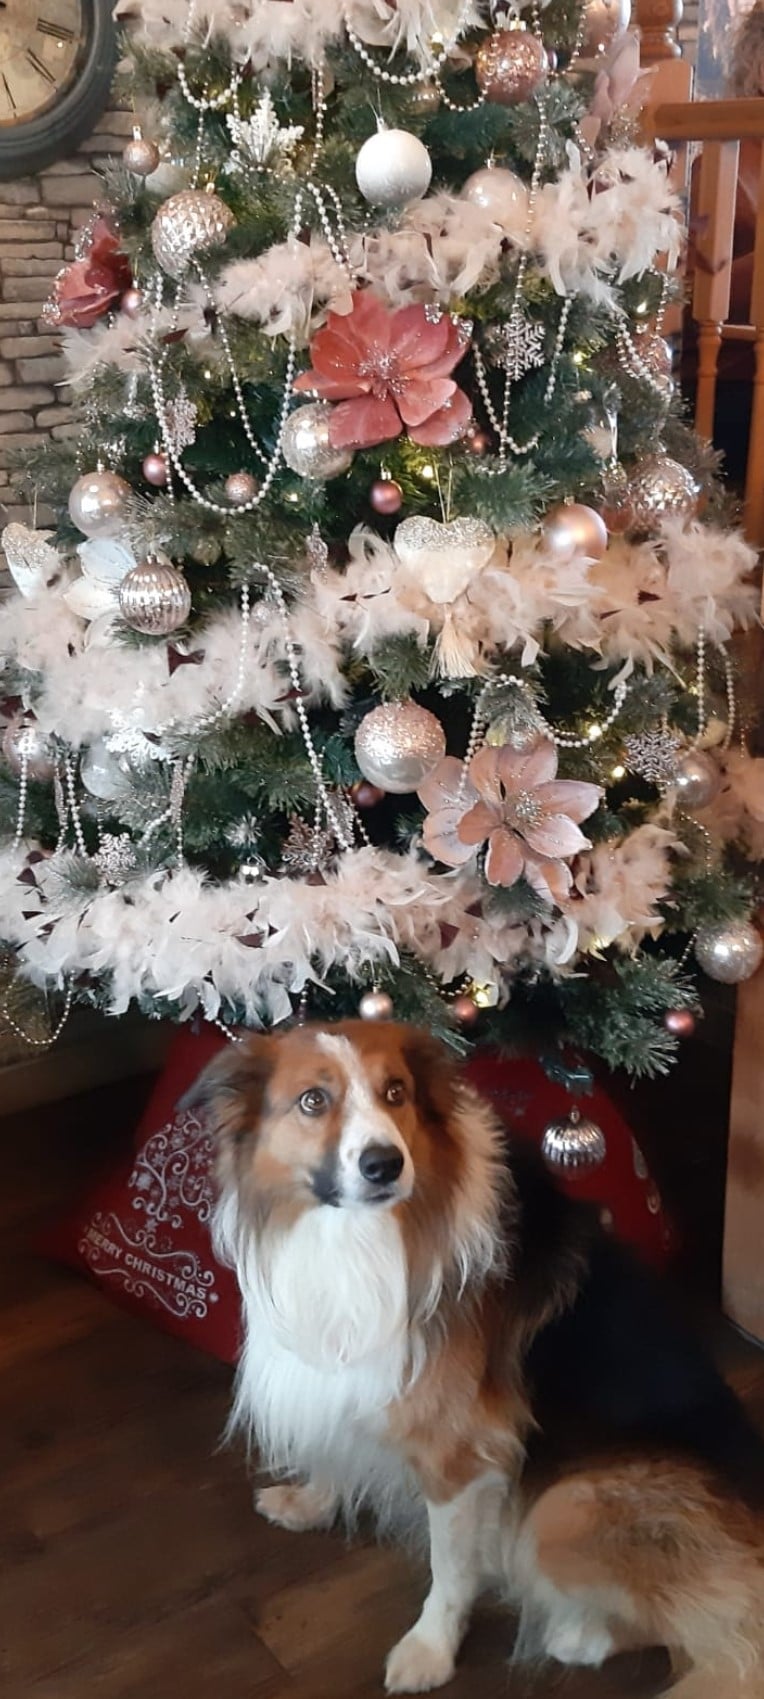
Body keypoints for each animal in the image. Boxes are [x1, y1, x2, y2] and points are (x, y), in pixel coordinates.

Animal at [185, 1020, 764, 1696]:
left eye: (396, 1092)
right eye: (312, 1101)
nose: (384, 1164)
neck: (359, 1235)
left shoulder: (459, 1453)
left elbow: (453, 1571)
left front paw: (430, 1651)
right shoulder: (346, 1373)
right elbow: (334, 1445)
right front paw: (310, 1503)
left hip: (565, 1508)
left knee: (724, 1637)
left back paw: (577, 1636)